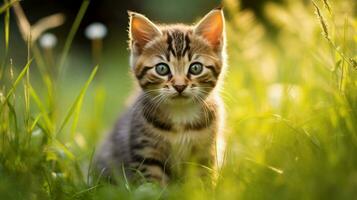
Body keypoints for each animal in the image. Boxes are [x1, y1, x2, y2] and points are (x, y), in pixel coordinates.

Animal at [95, 7, 225, 186]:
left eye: (196, 68)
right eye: (162, 69)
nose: (179, 86)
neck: (180, 116)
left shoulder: (205, 151)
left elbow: (202, 178)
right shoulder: (146, 151)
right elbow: (152, 182)